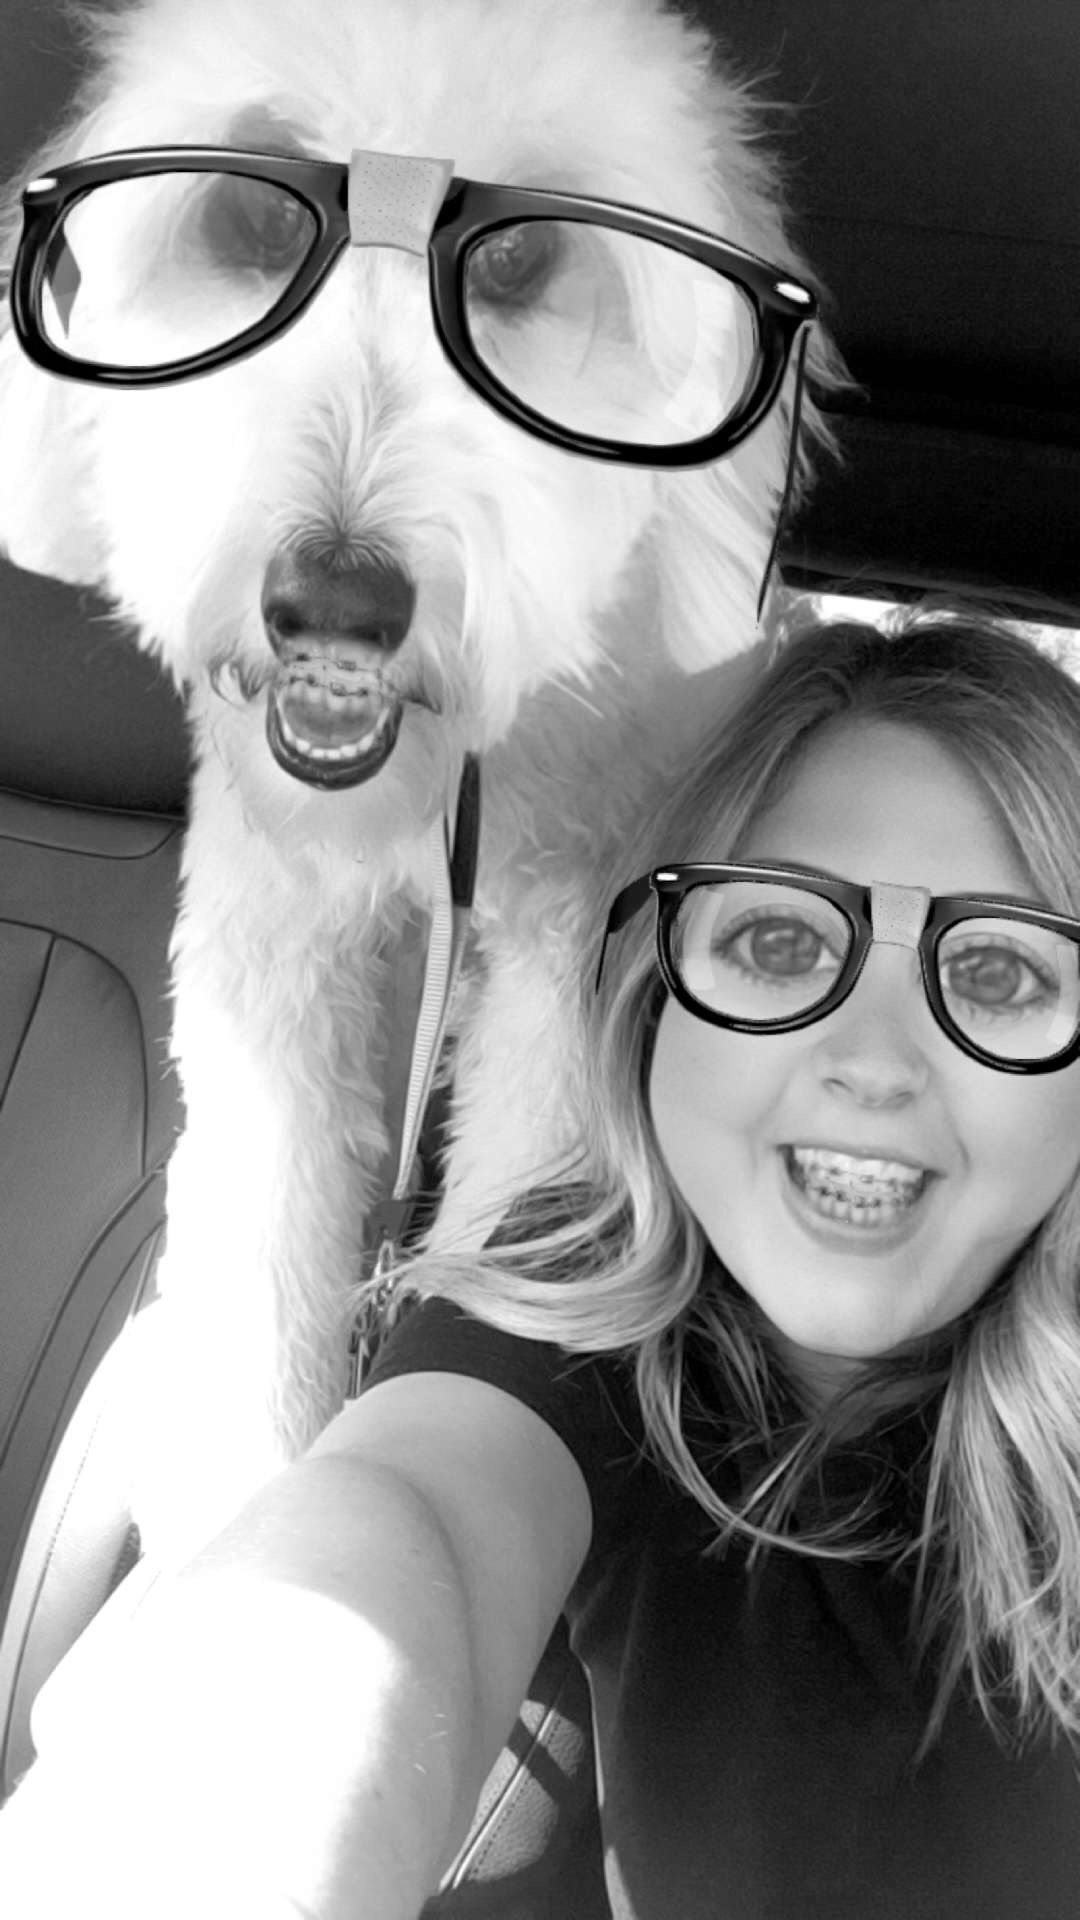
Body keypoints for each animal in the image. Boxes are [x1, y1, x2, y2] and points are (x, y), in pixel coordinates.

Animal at [0, 0, 833, 1563]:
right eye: (258, 218)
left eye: (515, 261)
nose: (334, 598)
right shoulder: (273, 948)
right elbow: (262, 1230)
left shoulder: (572, 945)